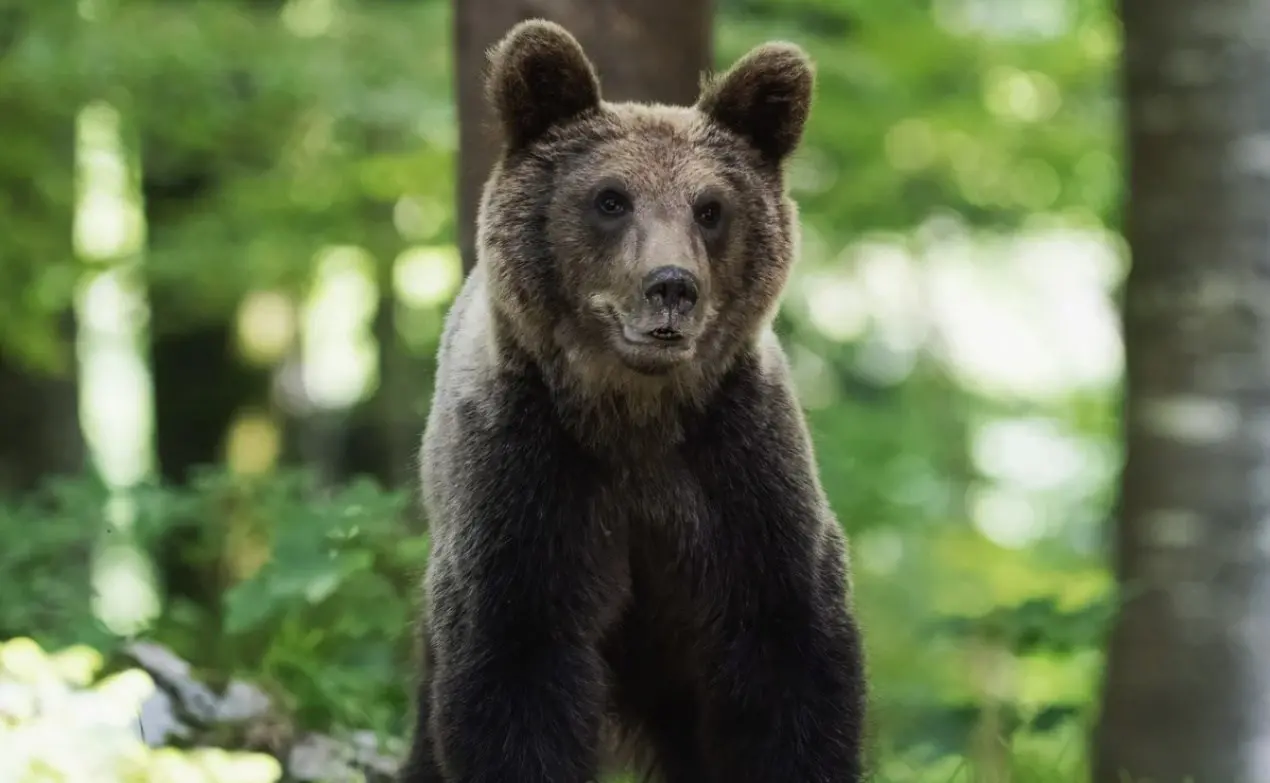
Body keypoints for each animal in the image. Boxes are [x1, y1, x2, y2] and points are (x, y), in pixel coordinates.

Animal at [401, 18, 868, 781]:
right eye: (610, 199)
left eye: (710, 208)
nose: (672, 286)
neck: (635, 415)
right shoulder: (526, 485)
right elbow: (514, 675)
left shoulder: (741, 477)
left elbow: (789, 663)